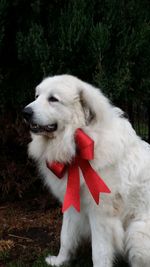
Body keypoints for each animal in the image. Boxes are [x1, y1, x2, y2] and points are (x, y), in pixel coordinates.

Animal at [23, 75, 150, 267]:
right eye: (37, 96)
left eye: (53, 99)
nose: (25, 112)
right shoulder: (73, 202)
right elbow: (65, 237)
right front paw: (59, 261)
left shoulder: (100, 214)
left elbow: (99, 252)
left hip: (137, 233)